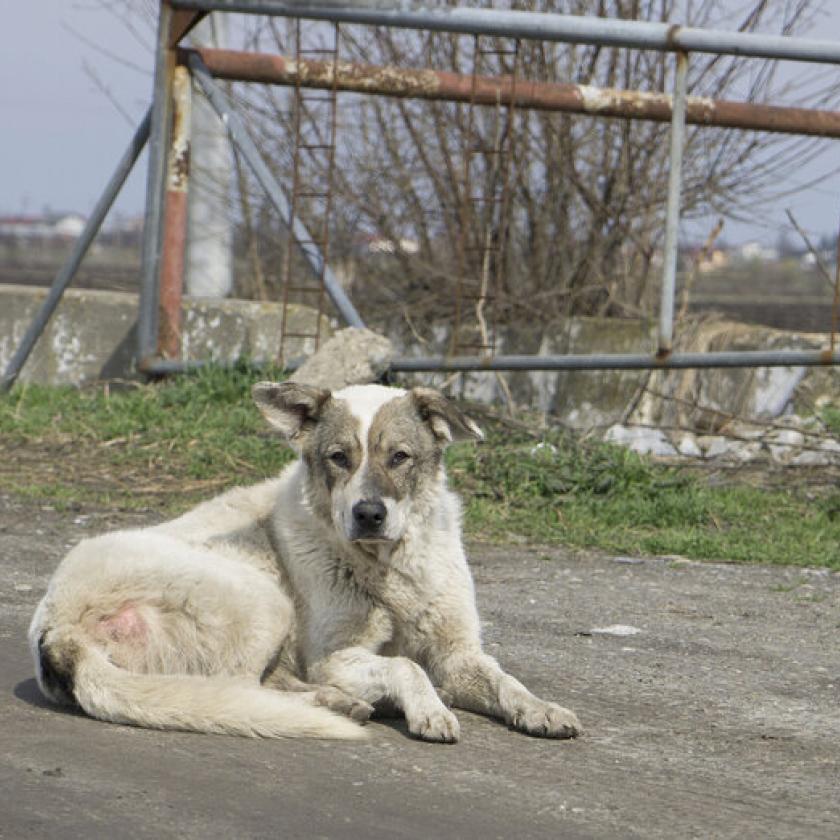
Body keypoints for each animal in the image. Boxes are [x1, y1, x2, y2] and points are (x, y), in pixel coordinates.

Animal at [26, 382, 580, 740]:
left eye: (399, 457)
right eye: (339, 458)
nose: (369, 513)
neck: (387, 567)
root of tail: (57, 630)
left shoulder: (458, 653)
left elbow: (506, 681)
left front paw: (542, 709)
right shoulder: (333, 657)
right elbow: (404, 665)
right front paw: (429, 710)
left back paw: (343, 703)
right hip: (264, 601)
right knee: (242, 689)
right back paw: (337, 703)